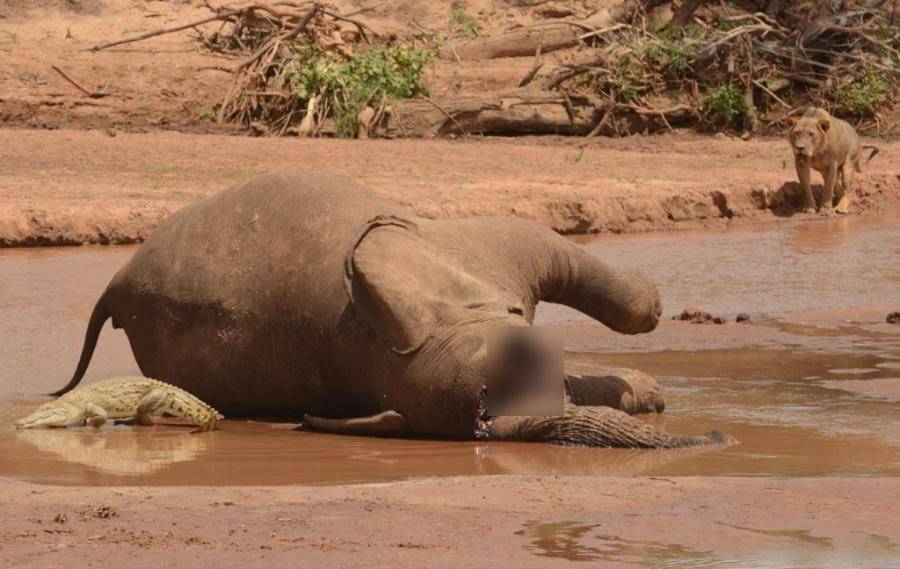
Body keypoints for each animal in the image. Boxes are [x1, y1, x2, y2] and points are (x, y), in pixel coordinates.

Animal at [54, 171, 732, 446]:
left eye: (519, 352)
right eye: (482, 424)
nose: (720, 436)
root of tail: (115, 283)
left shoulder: (476, 253)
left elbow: (625, 298)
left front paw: (646, 388)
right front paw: (648, 394)